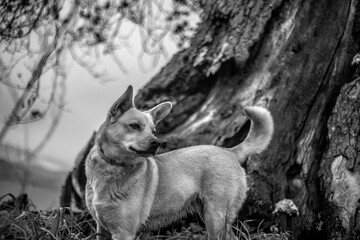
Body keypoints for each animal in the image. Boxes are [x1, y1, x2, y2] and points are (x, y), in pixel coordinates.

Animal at [85, 85, 272, 239]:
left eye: (153, 131)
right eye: (135, 126)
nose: (157, 143)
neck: (112, 166)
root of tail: (229, 151)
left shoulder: (124, 232)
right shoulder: (102, 230)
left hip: (215, 216)